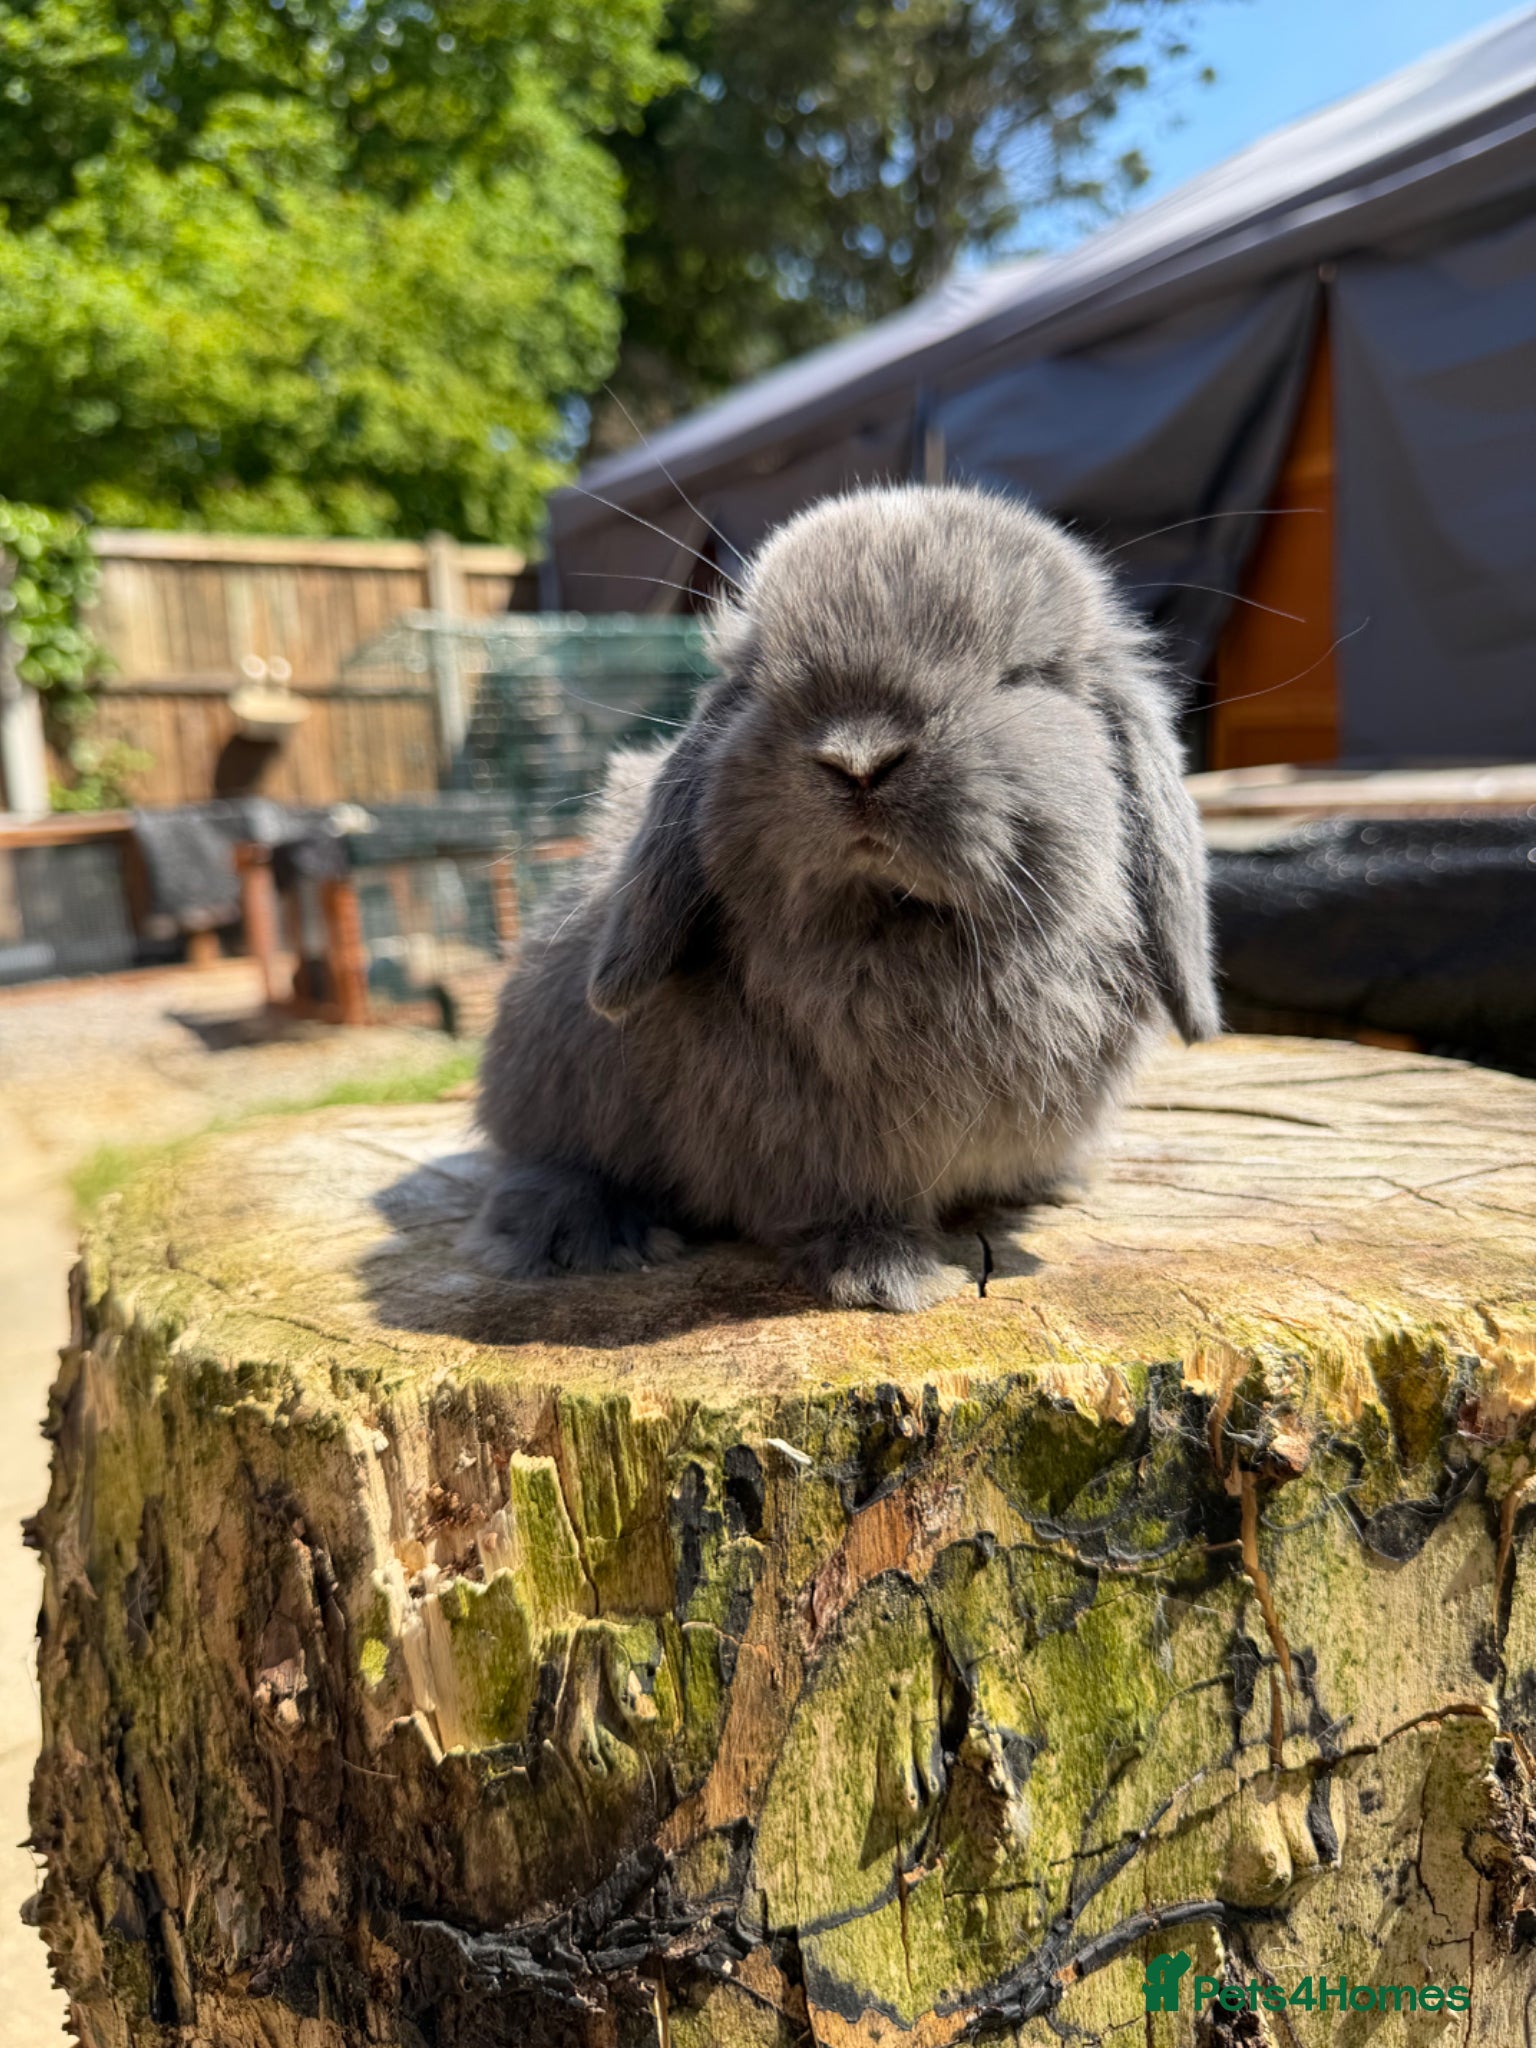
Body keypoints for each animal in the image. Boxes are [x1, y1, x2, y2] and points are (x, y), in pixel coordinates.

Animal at [470, 484, 1219, 1311]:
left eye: (1024, 676)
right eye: (759, 680)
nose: (859, 758)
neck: (897, 928)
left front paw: (1048, 1188)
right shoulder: (802, 1151)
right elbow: (839, 1209)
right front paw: (891, 1277)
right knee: (538, 1165)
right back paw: (592, 1235)